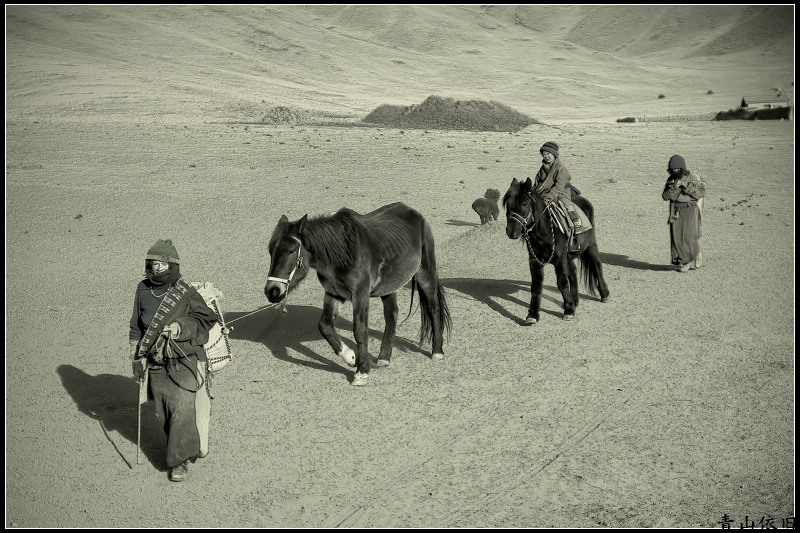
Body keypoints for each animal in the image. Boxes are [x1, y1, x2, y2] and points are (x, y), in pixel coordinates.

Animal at [262, 202, 450, 384]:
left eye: (291, 250)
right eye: (271, 250)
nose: (272, 291)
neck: (344, 253)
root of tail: (414, 213)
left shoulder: (360, 295)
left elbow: (360, 330)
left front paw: (362, 371)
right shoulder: (333, 293)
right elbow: (324, 325)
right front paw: (350, 356)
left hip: (425, 273)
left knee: (434, 308)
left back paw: (437, 351)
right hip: (389, 285)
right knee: (391, 315)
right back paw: (384, 357)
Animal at [504, 177, 608, 322]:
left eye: (524, 203)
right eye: (508, 204)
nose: (511, 231)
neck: (543, 233)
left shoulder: (559, 259)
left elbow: (562, 283)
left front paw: (569, 311)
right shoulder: (535, 261)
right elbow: (536, 286)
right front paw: (532, 314)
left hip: (591, 245)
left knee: (597, 265)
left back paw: (604, 294)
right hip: (568, 255)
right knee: (573, 271)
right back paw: (575, 300)